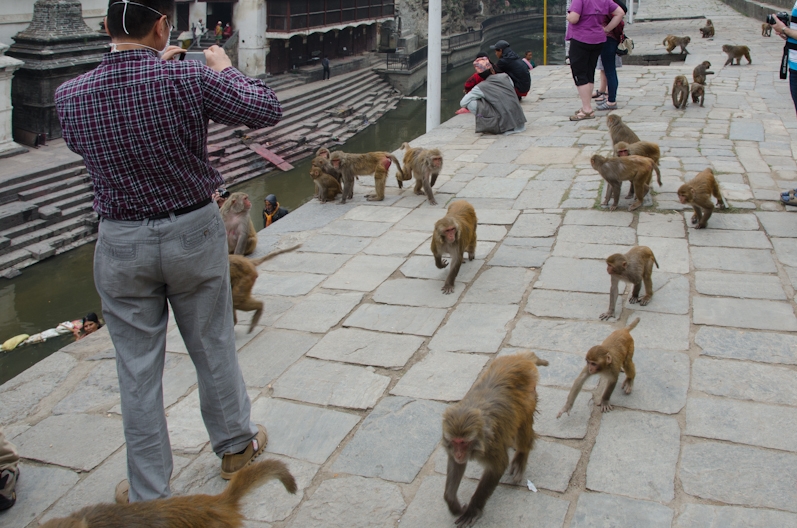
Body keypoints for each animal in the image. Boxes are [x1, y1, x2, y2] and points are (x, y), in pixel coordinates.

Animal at [442, 350, 548, 528]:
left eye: (463, 443)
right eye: (455, 442)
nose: (459, 453)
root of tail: (519, 358)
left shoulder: (492, 445)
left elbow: (498, 467)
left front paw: (473, 509)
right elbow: (456, 465)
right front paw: (453, 503)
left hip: (530, 392)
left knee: (523, 417)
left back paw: (522, 454)